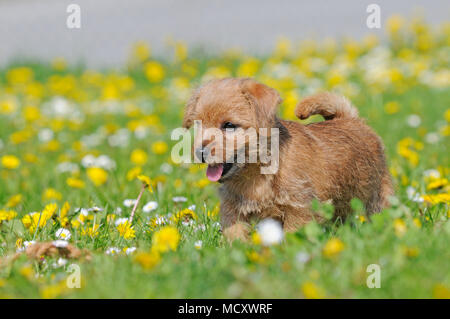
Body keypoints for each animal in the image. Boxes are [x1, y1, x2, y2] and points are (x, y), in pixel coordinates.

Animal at [181, 79, 392, 241]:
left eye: (229, 125)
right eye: (199, 124)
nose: (200, 152)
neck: (257, 171)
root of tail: (351, 119)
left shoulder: (299, 207)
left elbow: (293, 234)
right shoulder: (233, 208)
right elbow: (235, 233)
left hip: (377, 196)